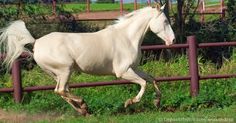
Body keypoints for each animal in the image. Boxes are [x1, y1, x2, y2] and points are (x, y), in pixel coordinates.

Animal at [0, 4, 174, 115]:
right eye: (165, 21)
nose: (172, 40)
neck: (126, 38)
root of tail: (36, 42)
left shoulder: (134, 68)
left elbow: (152, 79)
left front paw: (157, 102)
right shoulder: (123, 72)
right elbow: (143, 83)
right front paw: (129, 102)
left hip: (58, 74)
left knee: (62, 91)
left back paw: (83, 109)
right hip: (65, 70)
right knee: (61, 90)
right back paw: (83, 104)